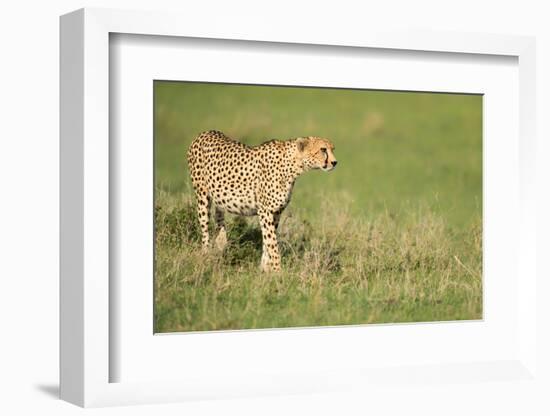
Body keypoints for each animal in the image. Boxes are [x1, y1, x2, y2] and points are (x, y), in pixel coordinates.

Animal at [188, 131, 338, 272]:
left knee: (219, 219)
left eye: (332, 149)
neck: (293, 165)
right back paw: (206, 257)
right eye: (323, 150)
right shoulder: (265, 211)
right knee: (205, 231)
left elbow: (267, 241)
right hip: (202, 197)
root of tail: (205, 133)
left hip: (219, 197)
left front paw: (264, 269)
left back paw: (221, 245)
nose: (335, 162)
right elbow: (272, 243)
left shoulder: (276, 212)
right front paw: (278, 271)